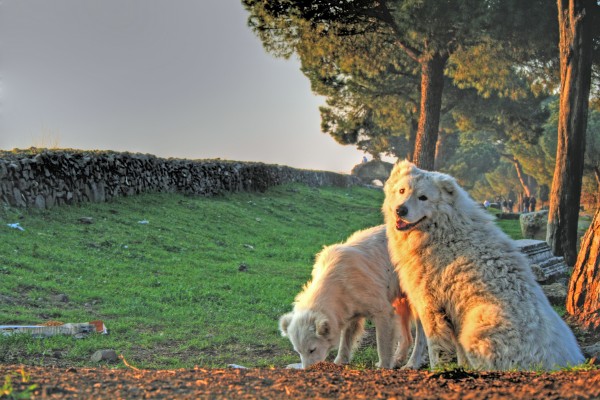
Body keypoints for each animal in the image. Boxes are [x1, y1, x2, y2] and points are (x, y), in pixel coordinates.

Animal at [278, 225, 424, 368]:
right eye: (298, 351)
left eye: (312, 350)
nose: (307, 370)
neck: (338, 279)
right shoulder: (349, 307)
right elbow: (346, 338)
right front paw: (339, 362)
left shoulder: (381, 308)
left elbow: (383, 342)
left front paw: (383, 366)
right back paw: (399, 359)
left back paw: (412, 364)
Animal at [382, 160, 584, 372]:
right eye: (402, 191)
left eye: (423, 197)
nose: (400, 210)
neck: (444, 230)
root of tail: (559, 365)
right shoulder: (451, 312)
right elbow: (458, 353)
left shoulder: (431, 305)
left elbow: (434, 347)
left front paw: (436, 370)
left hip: (477, 325)